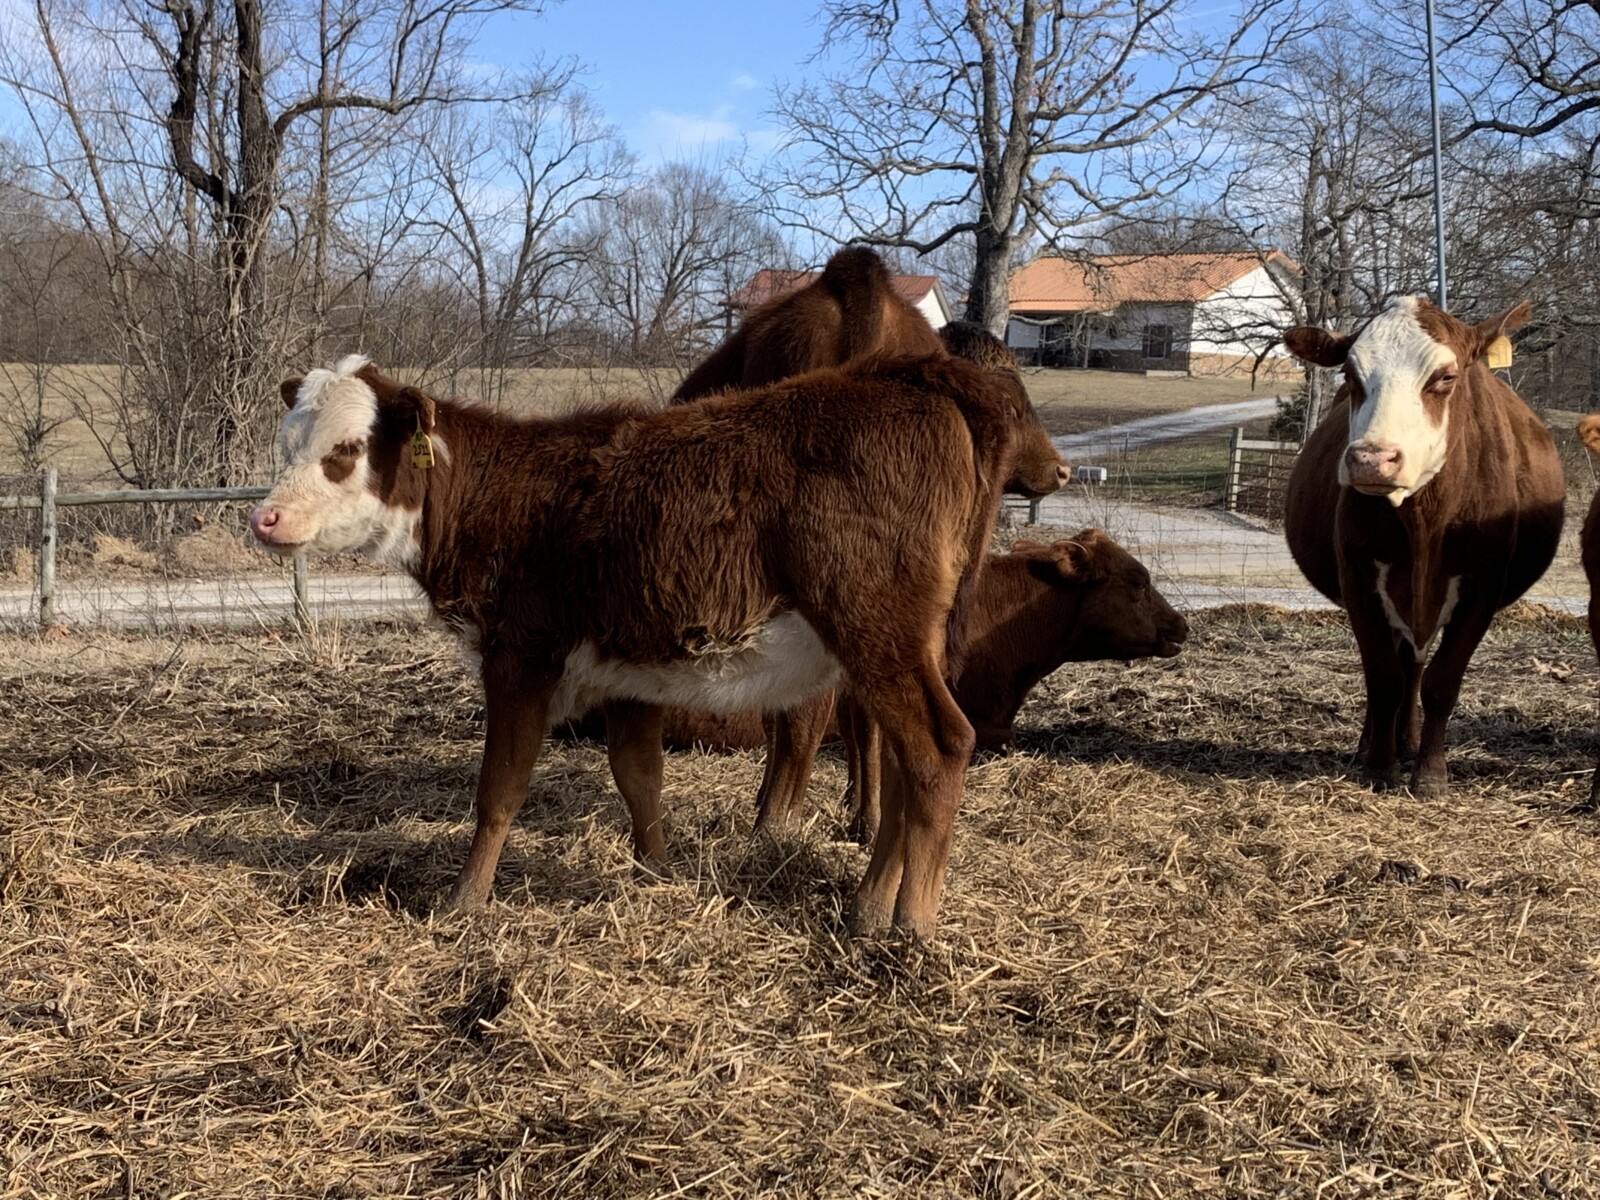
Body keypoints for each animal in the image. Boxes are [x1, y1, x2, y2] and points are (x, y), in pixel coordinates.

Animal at [249, 352, 1032, 938]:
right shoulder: (626, 670)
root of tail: (912, 375)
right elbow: (640, 777)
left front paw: (464, 900)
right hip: (905, 647)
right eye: (286, 445)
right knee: (905, 761)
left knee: (938, 749)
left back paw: (910, 923)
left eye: (347, 451)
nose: (267, 518)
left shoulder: (519, 658)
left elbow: (500, 789)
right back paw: (870, 904)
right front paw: (657, 870)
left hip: (876, 630)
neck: (502, 495)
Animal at [1283, 296, 1564, 797]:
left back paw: (1409, 743)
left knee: (1415, 666)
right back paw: (1376, 745)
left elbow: (1441, 682)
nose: (1372, 459)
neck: (1424, 523)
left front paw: (1430, 774)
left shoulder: (1483, 586)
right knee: (1401, 668)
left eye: (1445, 377)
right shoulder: (1358, 578)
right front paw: (1379, 767)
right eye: (1350, 375)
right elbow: (1382, 680)